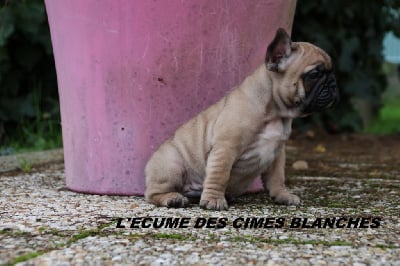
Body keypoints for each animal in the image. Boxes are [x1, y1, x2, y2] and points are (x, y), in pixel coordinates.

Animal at [144, 27, 338, 210]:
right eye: (314, 74)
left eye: (331, 72)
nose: (333, 83)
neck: (275, 111)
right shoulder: (226, 148)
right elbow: (220, 175)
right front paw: (214, 199)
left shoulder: (277, 153)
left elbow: (277, 178)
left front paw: (283, 196)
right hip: (172, 164)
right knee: (152, 194)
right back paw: (173, 198)